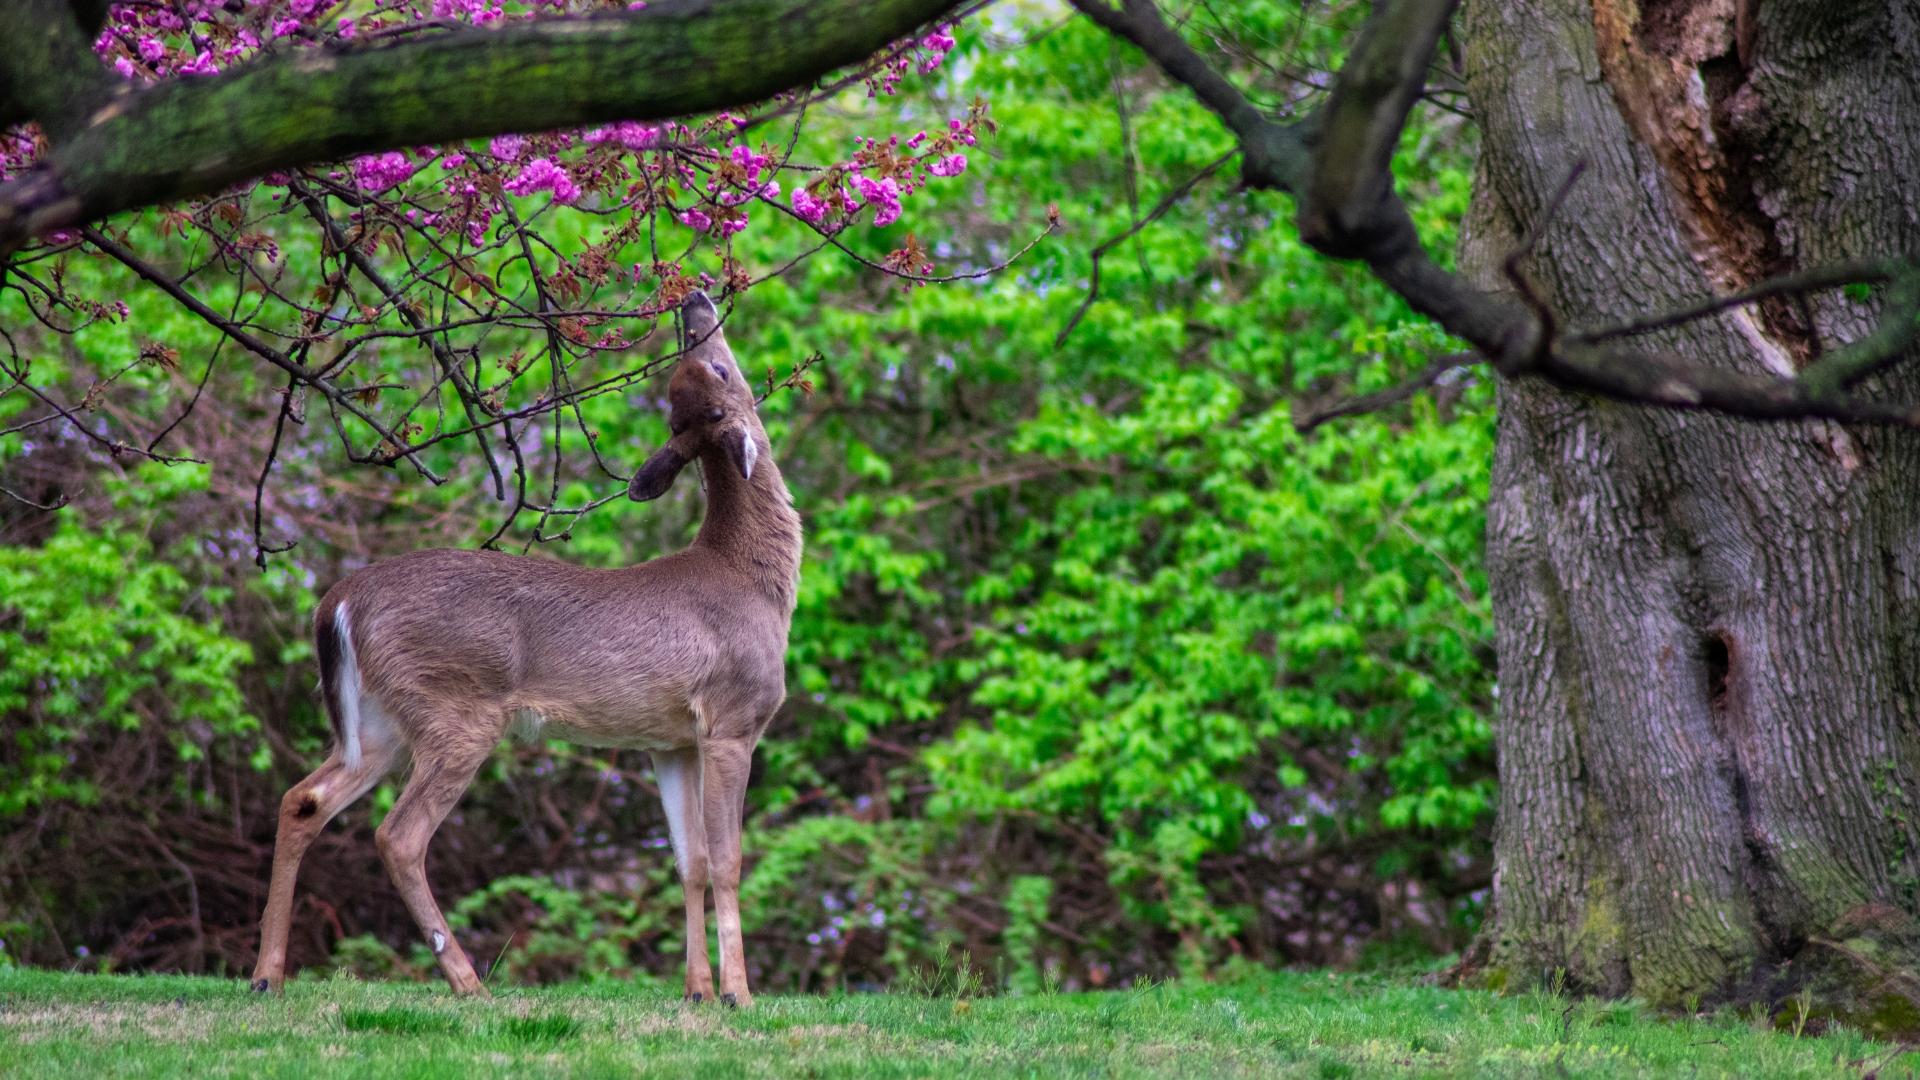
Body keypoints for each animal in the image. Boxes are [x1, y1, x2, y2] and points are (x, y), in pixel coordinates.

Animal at [249, 290, 802, 1006]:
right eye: (721, 368)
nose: (693, 300)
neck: (752, 581)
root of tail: (336, 602)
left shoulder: (671, 740)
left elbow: (692, 863)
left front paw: (697, 992)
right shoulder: (733, 718)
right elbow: (730, 860)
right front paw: (737, 994)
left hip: (379, 721)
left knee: (303, 800)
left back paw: (266, 976)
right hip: (456, 709)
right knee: (397, 835)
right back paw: (467, 983)